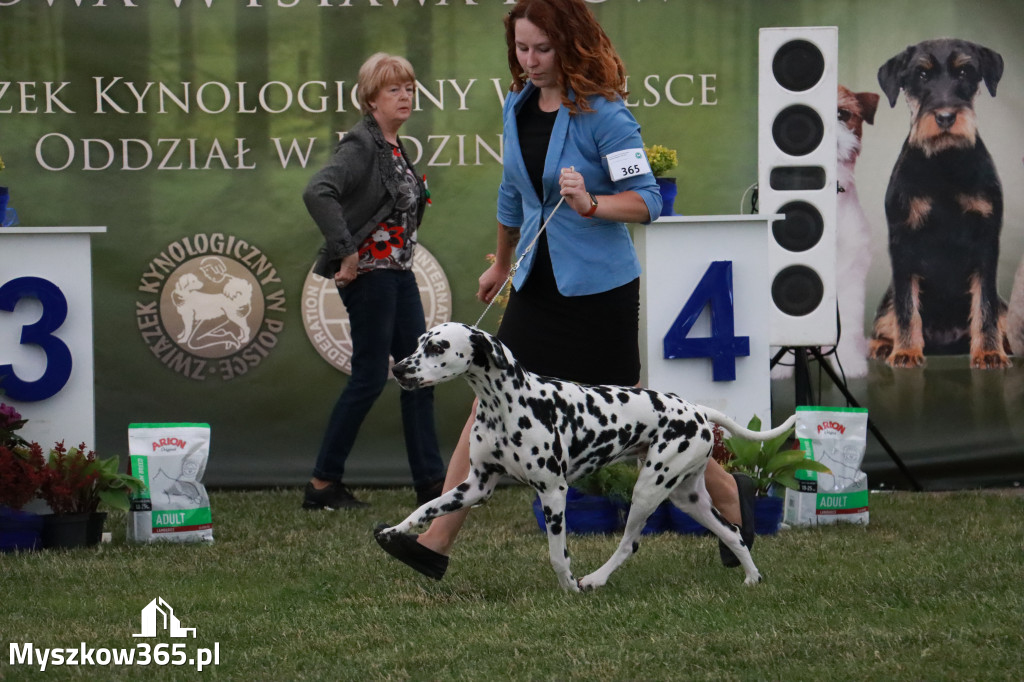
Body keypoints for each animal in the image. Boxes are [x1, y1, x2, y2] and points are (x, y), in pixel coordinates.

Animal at [374, 321, 790, 585]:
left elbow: (558, 555)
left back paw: (594, 580)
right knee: (733, 533)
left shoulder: (553, 493)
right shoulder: (474, 486)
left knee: (630, 543)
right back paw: (752, 577)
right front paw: (394, 532)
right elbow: (426, 509)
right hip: (688, 498)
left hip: (647, 491)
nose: (399, 369)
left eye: (438, 347)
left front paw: (570, 587)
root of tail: (697, 411)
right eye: (419, 342)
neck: (505, 405)